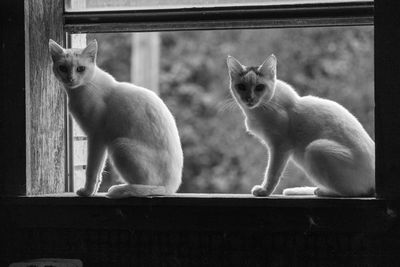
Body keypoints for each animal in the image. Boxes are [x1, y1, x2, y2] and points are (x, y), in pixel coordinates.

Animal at [48, 39, 184, 199]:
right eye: (62, 68)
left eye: (80, 69)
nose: (70, 78)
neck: (79, 90)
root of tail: (171, 187)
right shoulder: (100, 142)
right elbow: (99, 172)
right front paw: (93, 192)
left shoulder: (96, 137)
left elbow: (92, 171)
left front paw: (87, 192)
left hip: (119, 145)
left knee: (150, 186)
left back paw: (123, 189)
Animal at [228, 55, 376, 197]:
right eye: (241, 87)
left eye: (259, 87)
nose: (249, 98)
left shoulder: (280, 146)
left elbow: (272, 173)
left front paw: (265, 191)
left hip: (315, 148)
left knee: (354, 192)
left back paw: (322, 192)